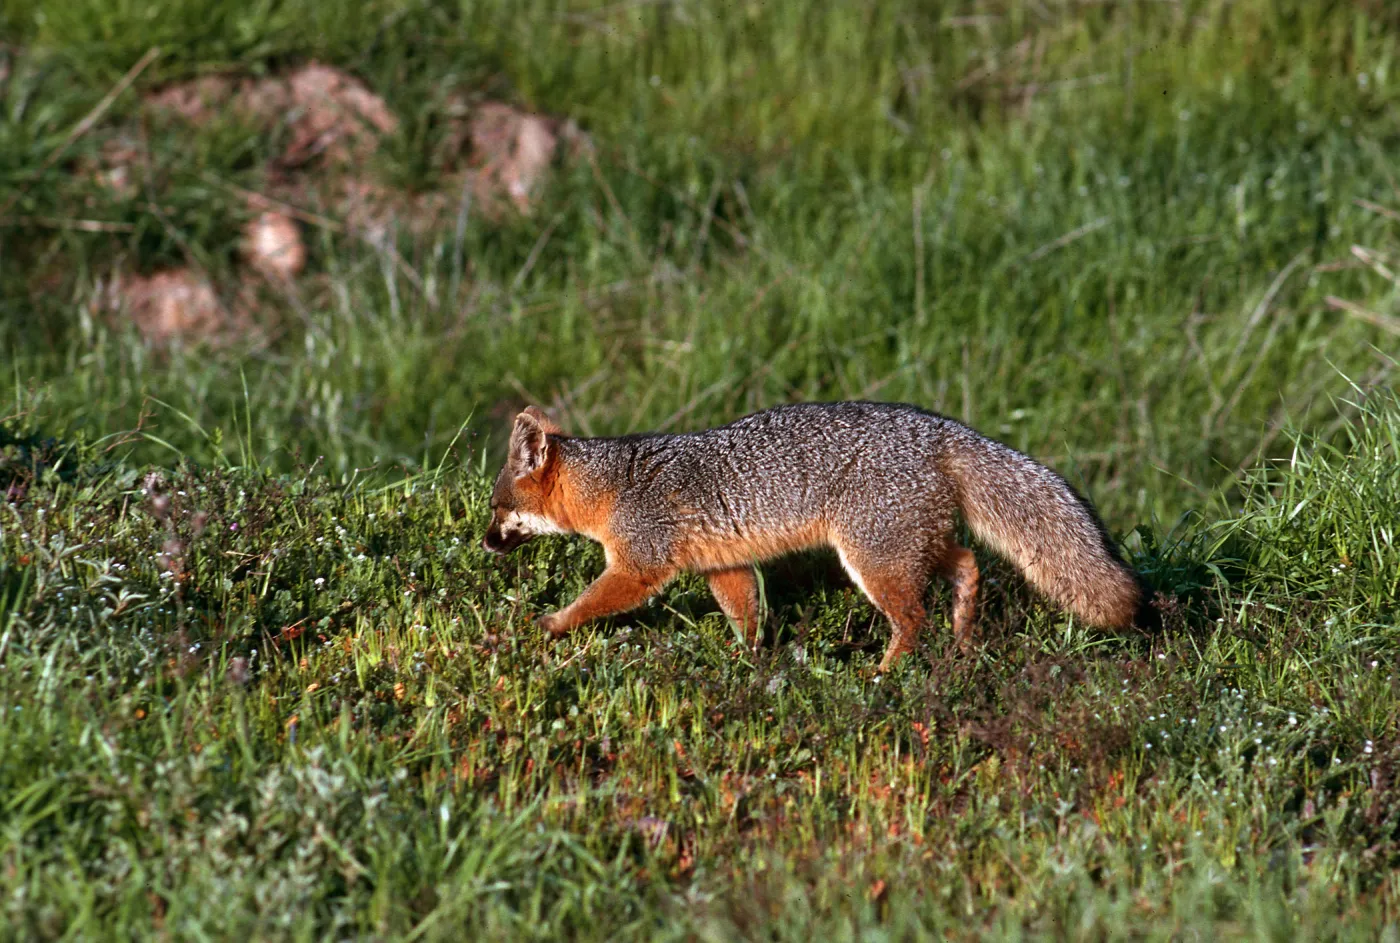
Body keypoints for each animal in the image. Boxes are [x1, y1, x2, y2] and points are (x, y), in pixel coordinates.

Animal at [481, 401, 1143, 671]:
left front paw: (552, 624)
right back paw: (961, 637)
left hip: (872, 560)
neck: (614, 484)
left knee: (912, 620)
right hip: (911, 543)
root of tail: (941, 429)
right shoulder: (723, 567)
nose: (484, 543)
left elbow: (592, 602)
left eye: (496, 508)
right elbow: (746, 615)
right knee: (966, 564)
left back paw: (884, 676)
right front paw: (747, 662)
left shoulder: (638, 566)